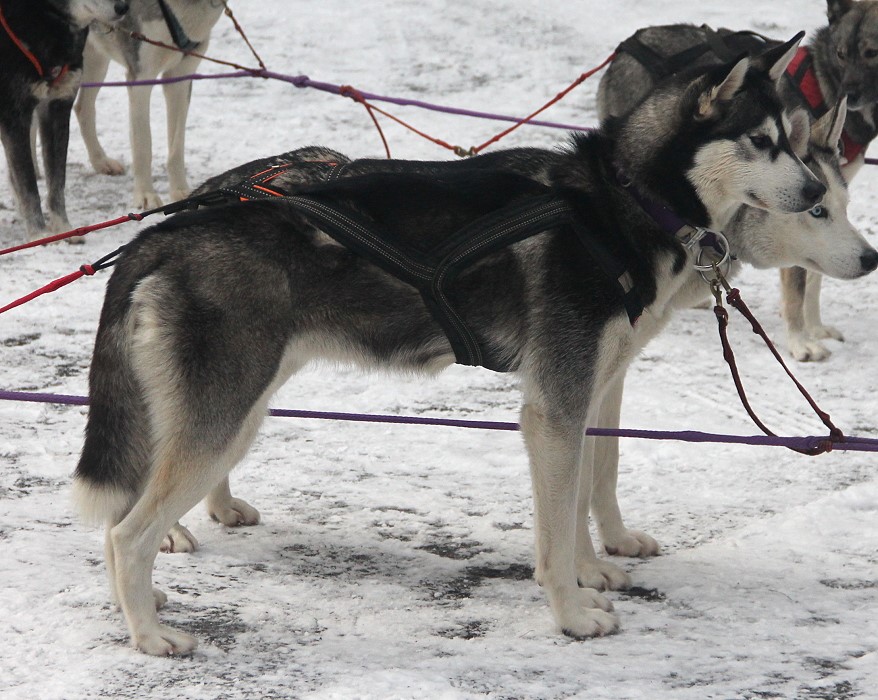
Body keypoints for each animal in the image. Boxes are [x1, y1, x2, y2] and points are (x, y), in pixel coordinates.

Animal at [0, 0, 128, 240]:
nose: (123, 7)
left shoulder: (57, 108)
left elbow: (57, 181)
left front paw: (62, 229)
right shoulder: (15, 116)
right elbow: (28, 186)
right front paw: (40, 236)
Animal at [74, 0, 225, 209]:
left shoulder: (181, 76)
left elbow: (176, 147)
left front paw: (181, 192)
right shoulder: (141, 77)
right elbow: (143, 144)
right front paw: (145, 195)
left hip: (96, 58)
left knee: (83, 108)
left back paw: (101, 161)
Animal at [74, 36, 829, 655]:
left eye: (795, 140)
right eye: (762, 141)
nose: (820, 189)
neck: (621, 202)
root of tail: (165, 231)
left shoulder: (590, 389)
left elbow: (590, 489)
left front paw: (592, 570)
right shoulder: (554, 408)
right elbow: (556, 527)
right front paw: (570, 614)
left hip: (239, 409)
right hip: (221, 416)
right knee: (124, 532)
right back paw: (149, 632)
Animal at [597, 0, 878, 361]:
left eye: (845, 207)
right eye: (842, 55)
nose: (872, 258)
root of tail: (631, 42)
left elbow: (814, 280)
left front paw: (815, 329)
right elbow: (797, 288)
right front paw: (801, 342)